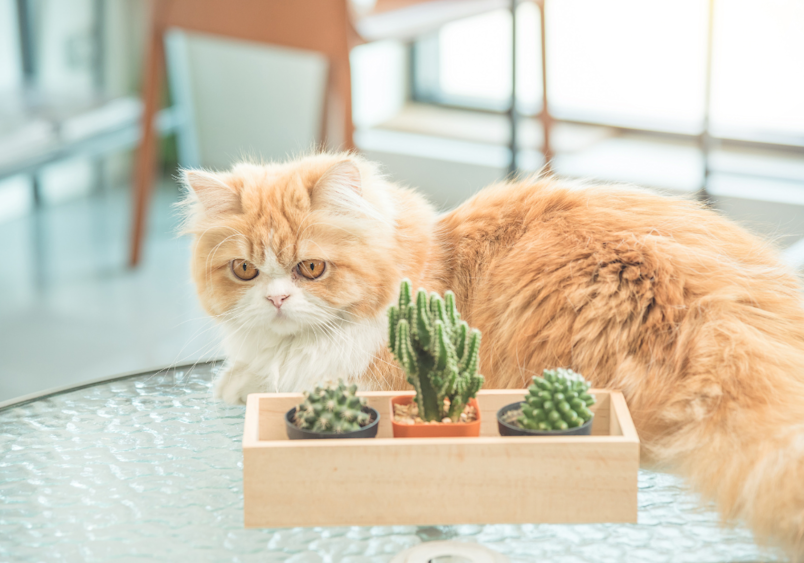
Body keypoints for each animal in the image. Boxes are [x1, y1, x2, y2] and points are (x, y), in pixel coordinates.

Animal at [184, 152, 804, 556]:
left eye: (310, 268)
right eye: (245, 269)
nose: (277, 299)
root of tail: (723, 319)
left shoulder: (366, 378)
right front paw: (235, 378)